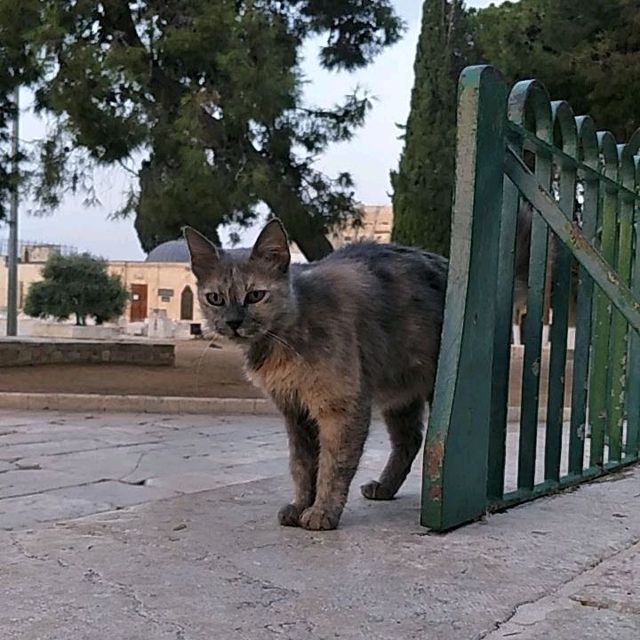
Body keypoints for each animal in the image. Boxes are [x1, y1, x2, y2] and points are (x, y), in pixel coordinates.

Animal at [182, 219, 448, 528]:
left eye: (255, 295)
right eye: (215, 298)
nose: (233, 322)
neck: (285, 340)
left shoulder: (341, 407)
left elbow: (333, 465)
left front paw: (323, 511)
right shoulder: (295, 411)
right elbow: (302, 466)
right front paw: (300, 506)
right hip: (400, 396)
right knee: (410, 440)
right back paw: (384, 487)